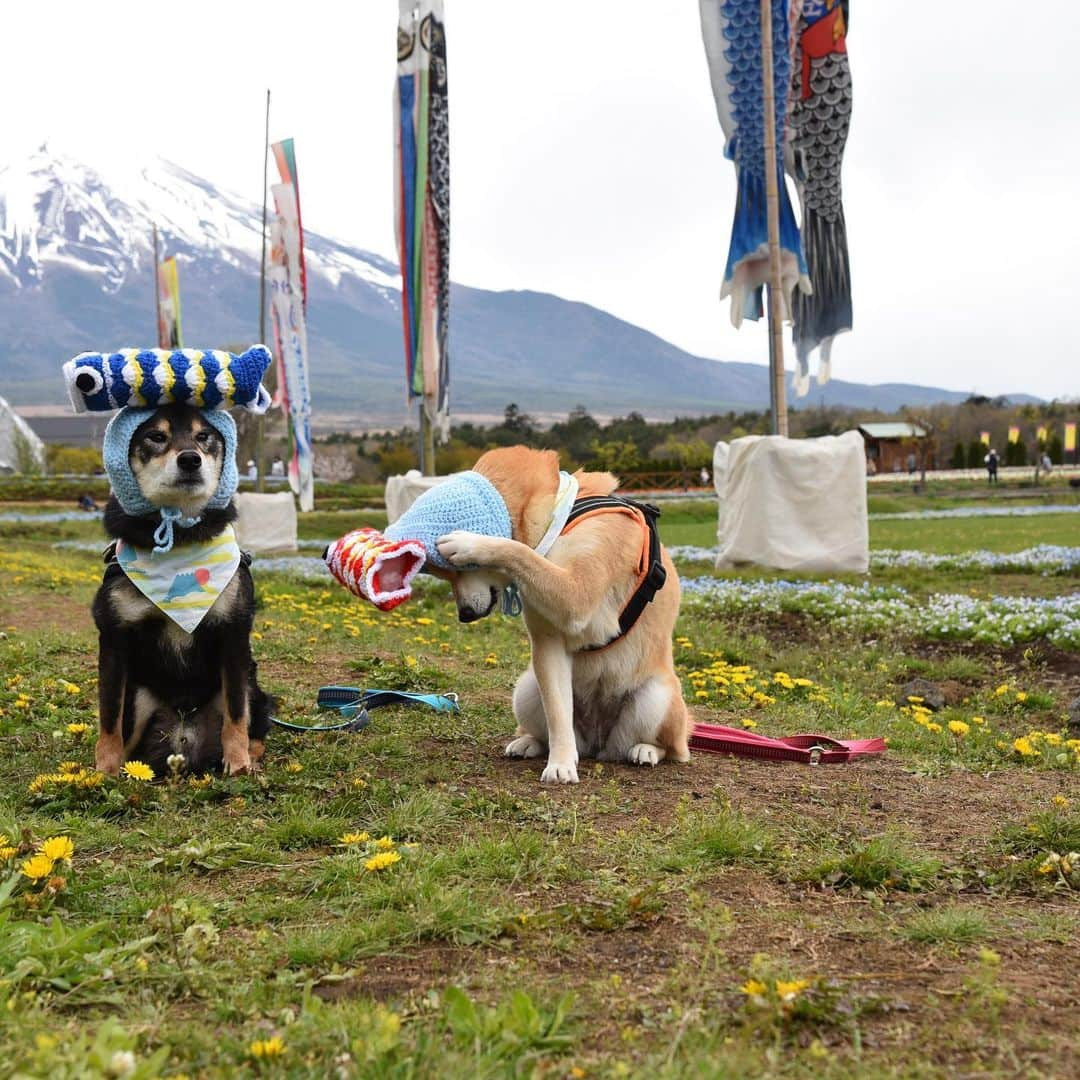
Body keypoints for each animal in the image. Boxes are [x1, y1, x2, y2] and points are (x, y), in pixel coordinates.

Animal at [91, 406, 274, 777]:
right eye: (156, 437)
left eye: (204, 436)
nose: (190, 459)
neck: (179, 534)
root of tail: (183, 738)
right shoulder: (114, 637)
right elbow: (109, 716)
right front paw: (103, 771)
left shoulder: (233, 633)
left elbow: (236, 714)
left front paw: (238, 764)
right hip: (140, 697)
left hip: (253, 687)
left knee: (252, 724)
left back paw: (250, 759)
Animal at [432, 447, 691, 786]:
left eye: (459, 569)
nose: (463, 615)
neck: (564, 515)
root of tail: (598, 745)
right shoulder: (549, 641)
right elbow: (557, 716)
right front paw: (562, 763)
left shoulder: (576, 594)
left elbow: (518, 550)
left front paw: (469, 542)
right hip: (527, 688)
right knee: (547, 728)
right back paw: (529, 743)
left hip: (655, 698)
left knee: (671, 748)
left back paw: (646, 750)